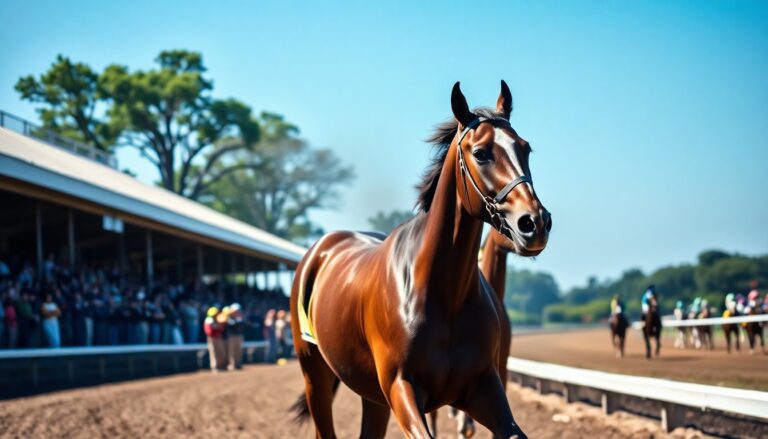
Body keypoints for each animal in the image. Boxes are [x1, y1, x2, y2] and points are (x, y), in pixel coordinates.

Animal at [289, 81, 550, 439]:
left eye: (525, 149)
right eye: (481, 153)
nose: (535, 222)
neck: (445, 294)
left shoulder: (483, 387)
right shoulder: (402, 388)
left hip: (372, 396)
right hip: (315, 373)